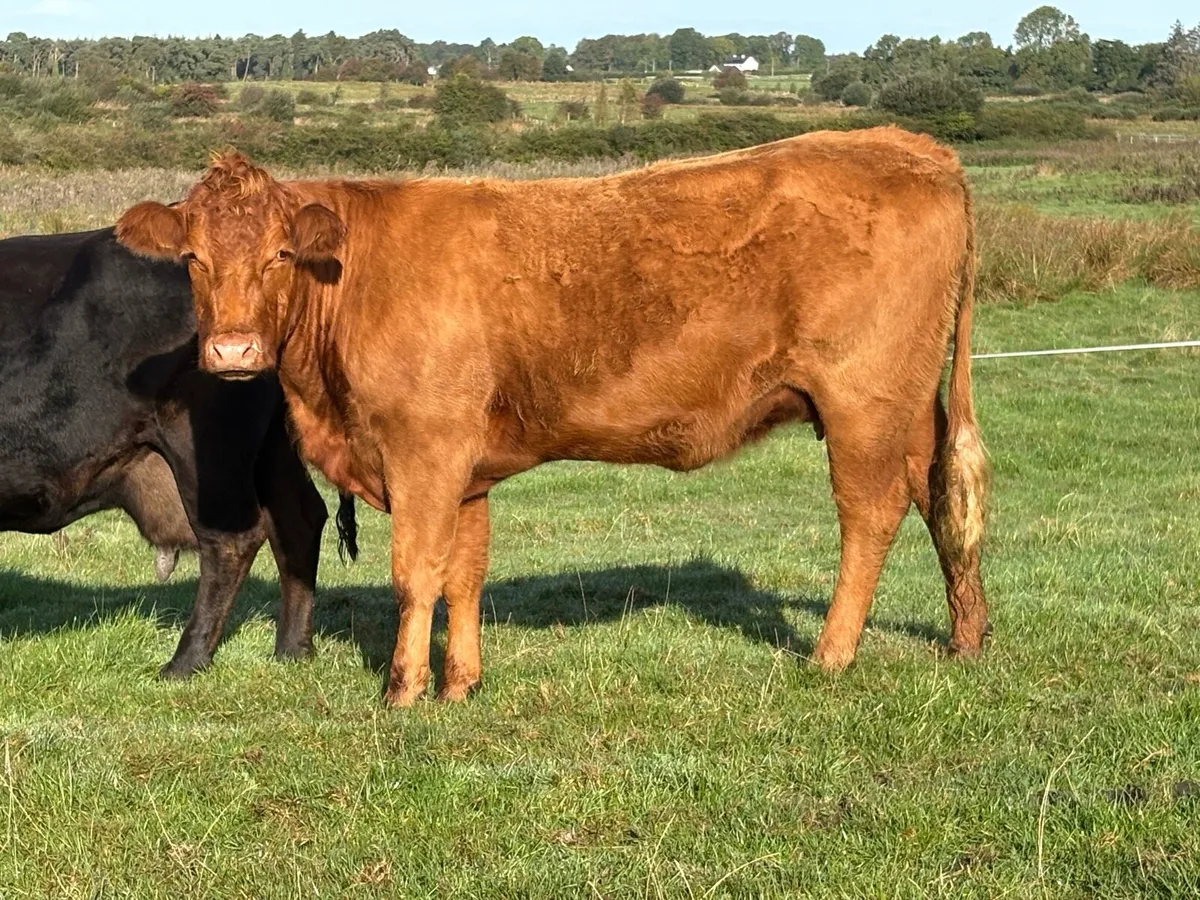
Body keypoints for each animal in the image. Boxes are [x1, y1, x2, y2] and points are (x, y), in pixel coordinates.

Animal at [0, 227, 343, 677]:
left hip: (206, 446)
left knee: (232, 540)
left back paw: (185, 661)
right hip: (272, 448)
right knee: (299, 521)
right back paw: (292, 650)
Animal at [116, 126, 990, 707]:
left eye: (280, 257)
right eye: (193, 259)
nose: (232, 351)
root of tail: (910, 147)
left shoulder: (425, 451)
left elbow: (416, 573)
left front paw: (403, 692)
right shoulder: (465, 467)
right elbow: (463, 573)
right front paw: (460, 685)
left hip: (863, 402)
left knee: (870, 514)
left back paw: (832, 655)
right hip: (912, 408)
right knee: (943, 500)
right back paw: (967, 639)